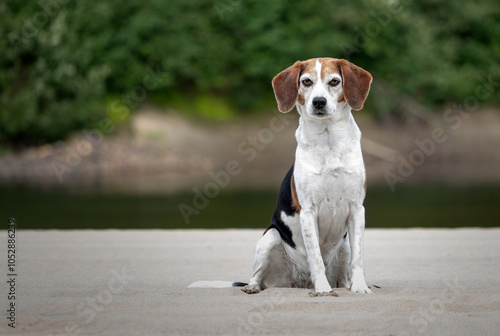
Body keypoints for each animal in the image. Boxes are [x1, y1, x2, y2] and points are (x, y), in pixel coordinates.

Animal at [240, 59, 374, 296]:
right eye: (306, 82)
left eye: (334, 81)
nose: (319, 102)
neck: (328, 141)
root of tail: (300, 281)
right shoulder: (308, 212)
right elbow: (316, 256)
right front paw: (322, 288)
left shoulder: (357, 209)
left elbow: (358, 258)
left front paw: (360, 287)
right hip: (270, 237)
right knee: (257, 276)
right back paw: (253, 287)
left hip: (344, 246)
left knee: (345, 270)